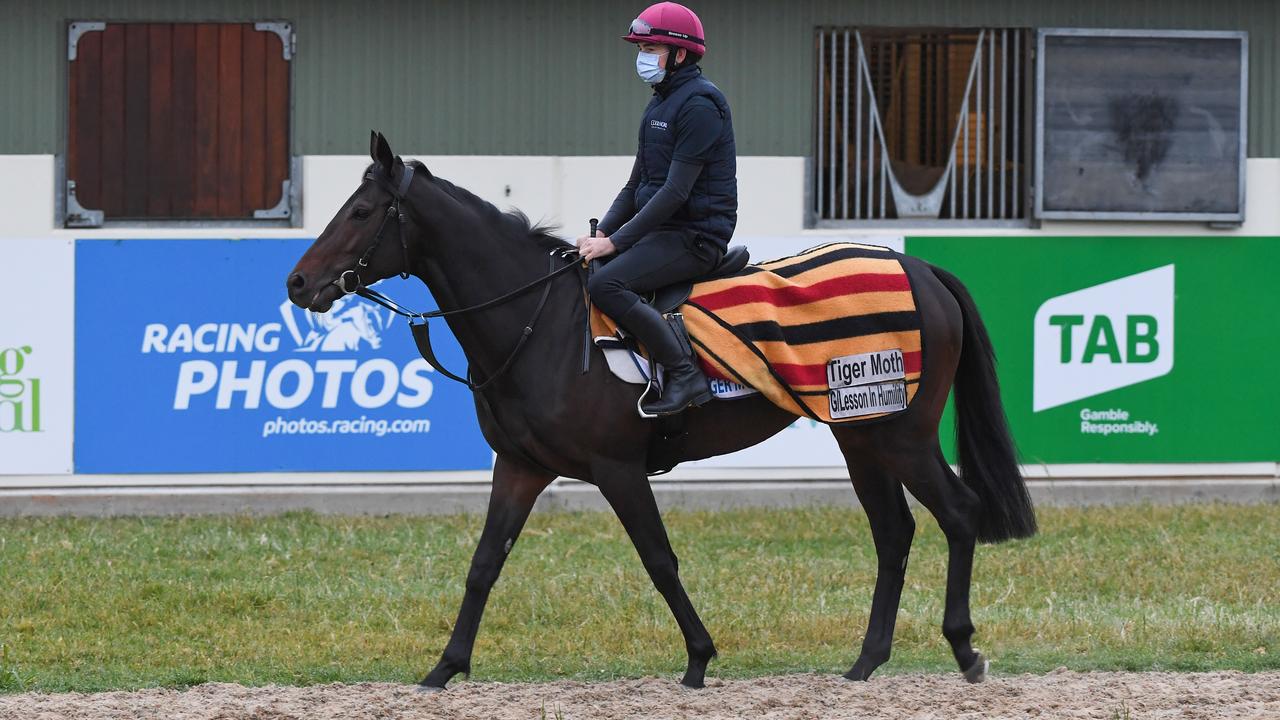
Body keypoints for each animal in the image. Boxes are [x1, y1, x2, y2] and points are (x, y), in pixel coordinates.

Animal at [285, 133, 1034, 691]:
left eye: (361, 212)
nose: (297, 283)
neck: (540, 321)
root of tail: (921, 271)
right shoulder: (520, 468)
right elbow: (484, 563)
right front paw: (444, 668)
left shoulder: (618, 468)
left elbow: (658, 558)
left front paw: (699, 658)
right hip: (861, 435)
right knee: (893, 532)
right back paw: (866, 661)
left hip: (901, 434)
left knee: (958, 513)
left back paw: (964, 650)